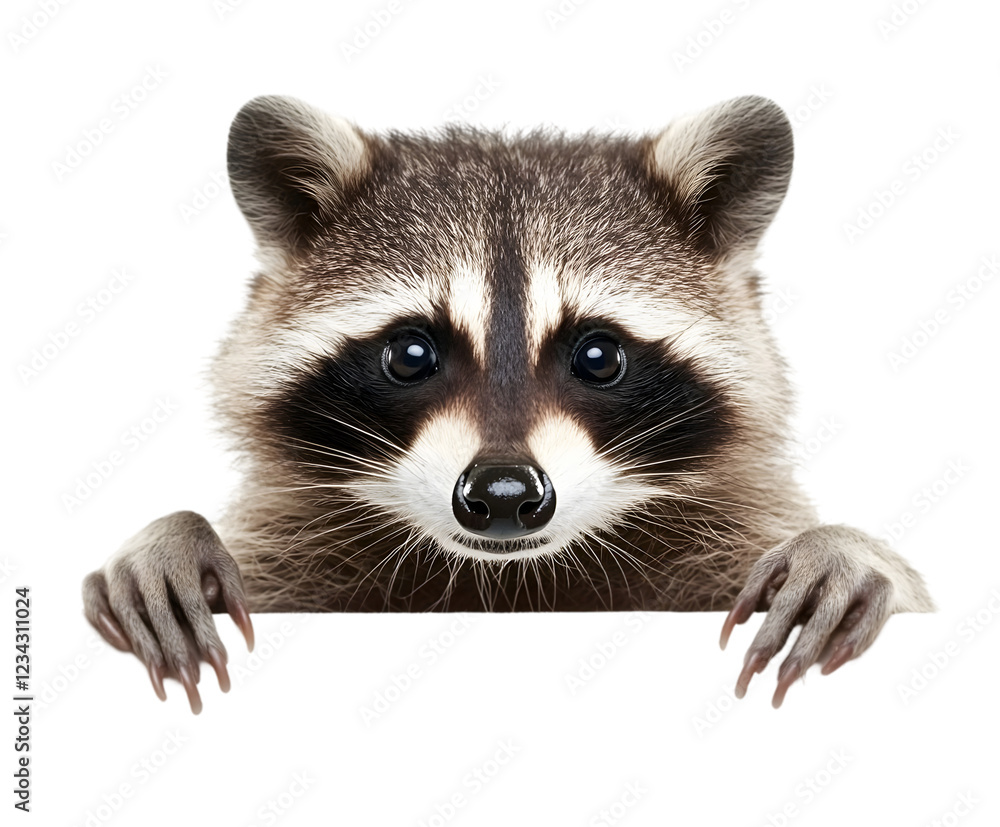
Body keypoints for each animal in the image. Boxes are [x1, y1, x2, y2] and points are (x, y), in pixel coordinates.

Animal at [82, 95, 933, 713]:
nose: (500, 493)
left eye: (598, 356)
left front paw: (846, 548)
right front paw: (174, 535)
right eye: (411, 354)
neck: (508, 585)